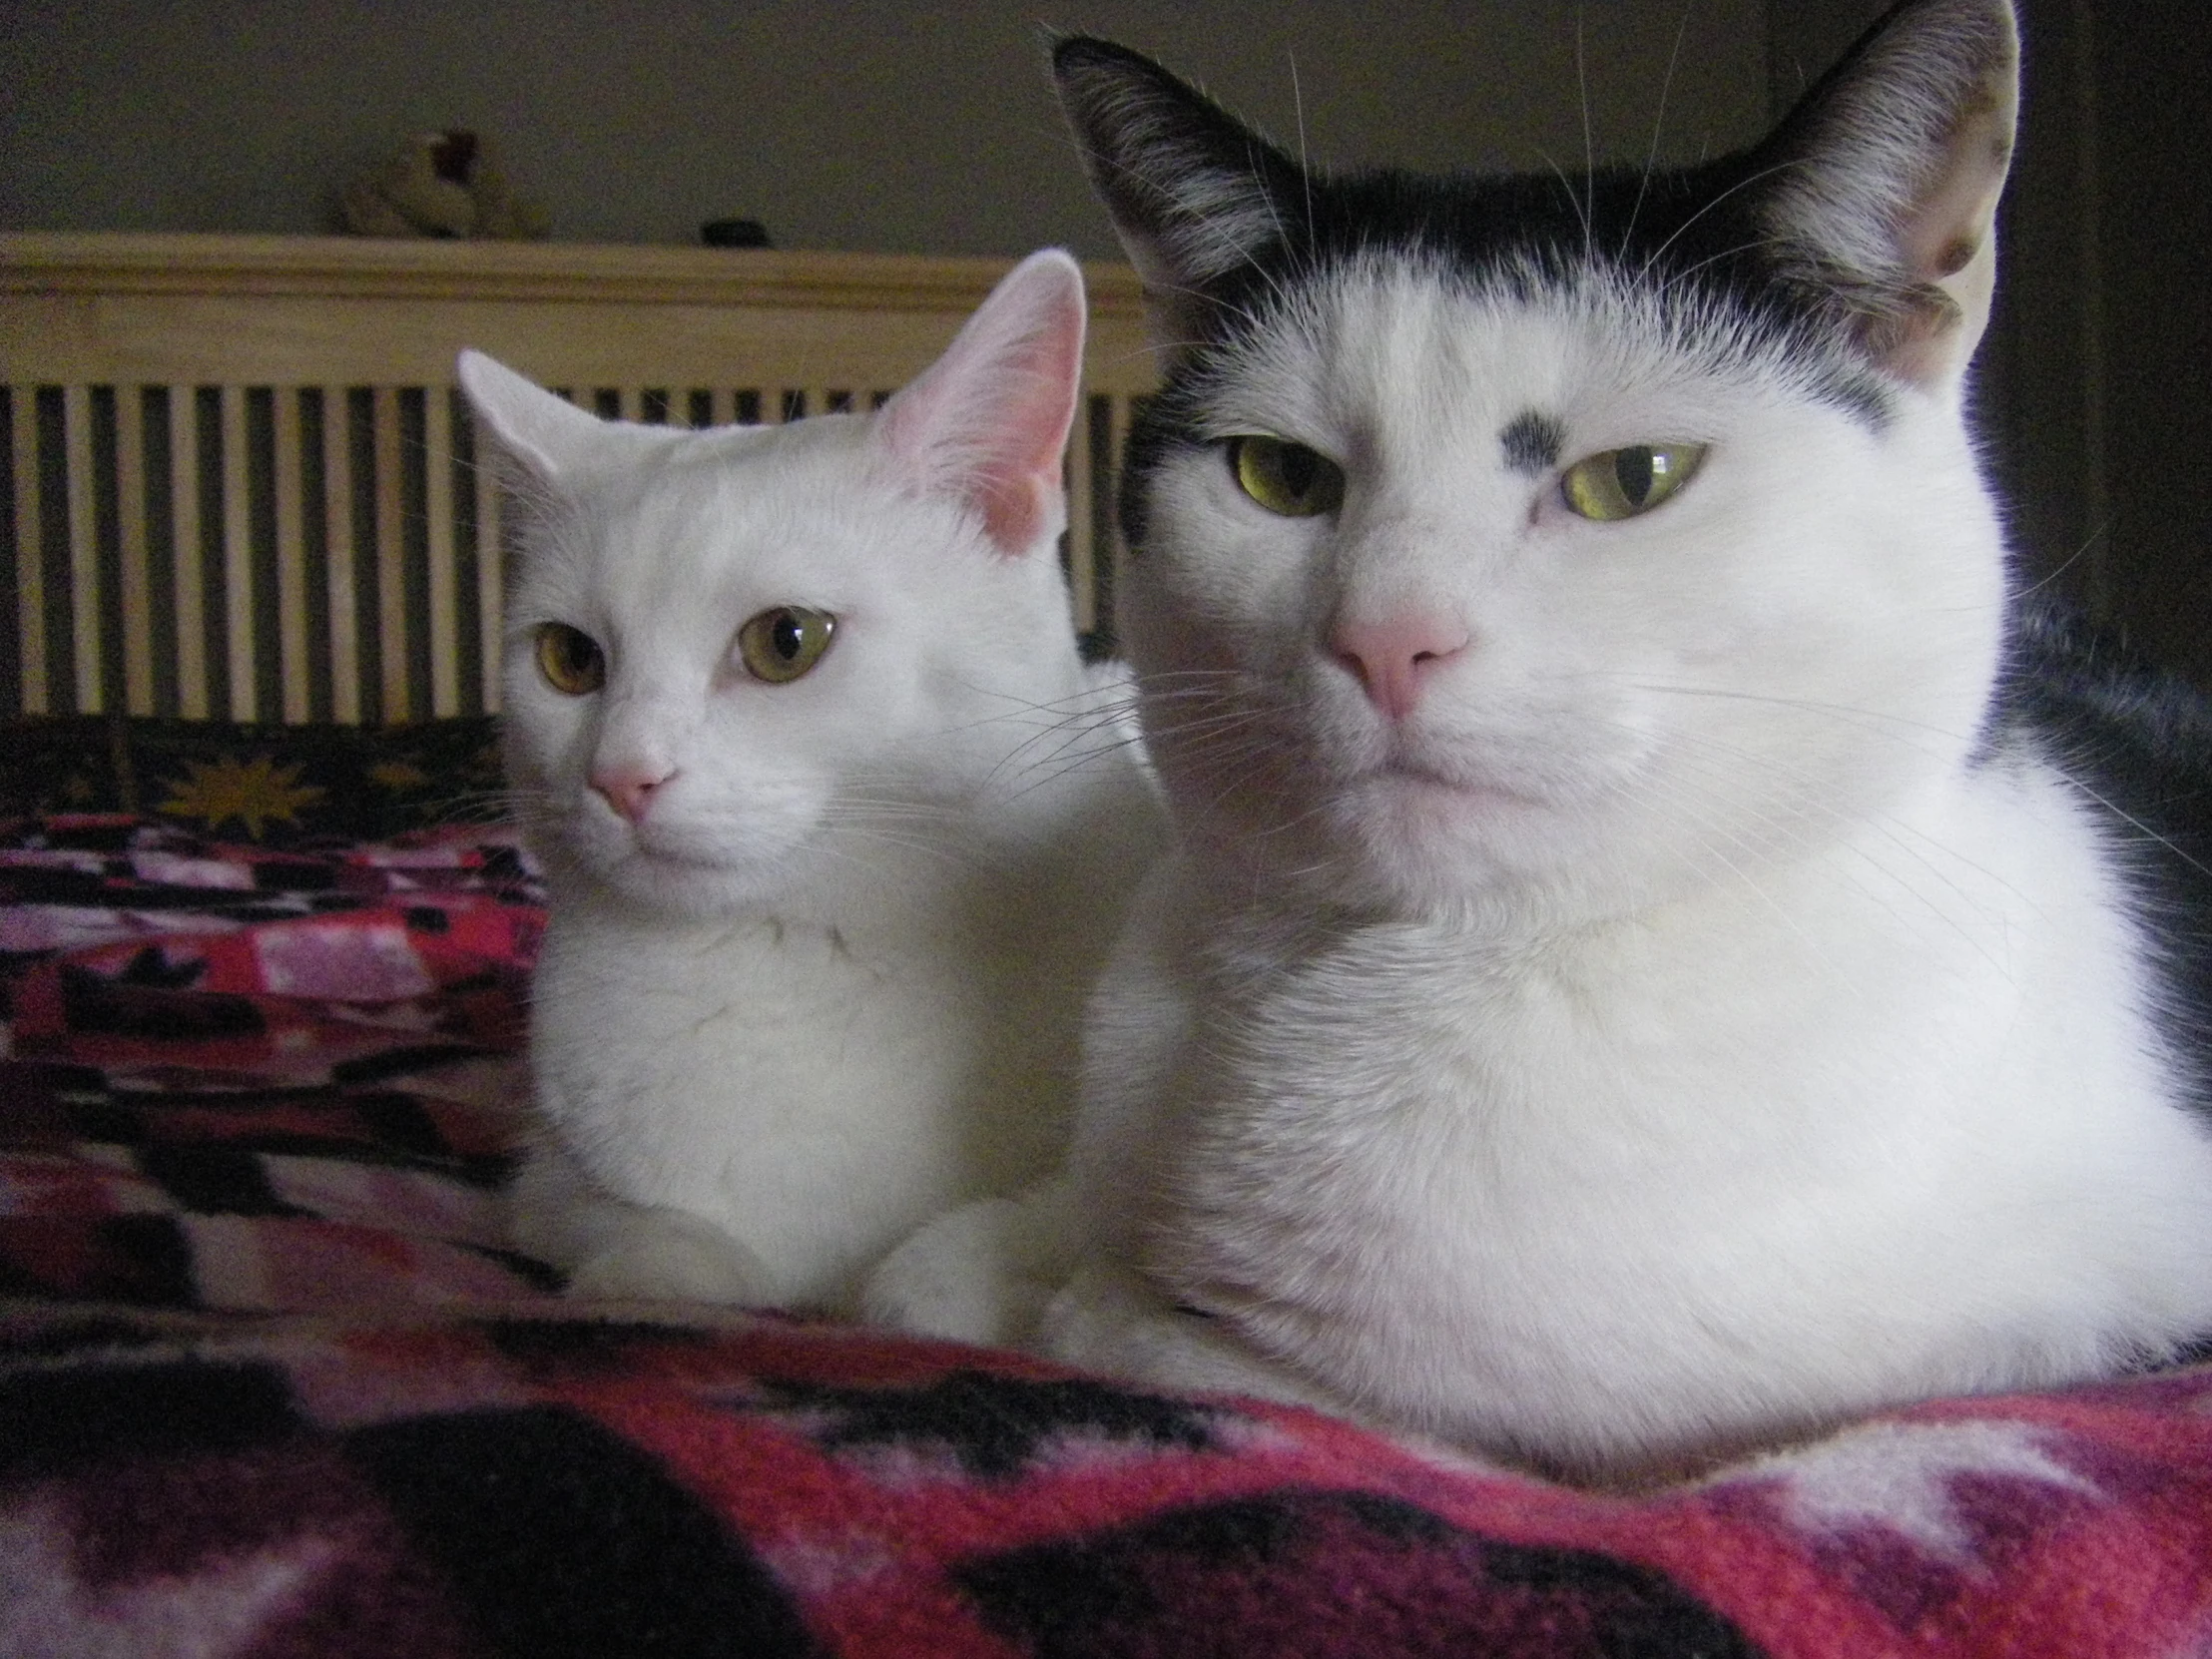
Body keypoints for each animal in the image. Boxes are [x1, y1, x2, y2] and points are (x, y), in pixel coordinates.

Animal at [459, 250, 1168, 1309]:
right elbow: (646, 1247)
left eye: (786, 641)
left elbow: (978, 1253)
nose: (621, 774)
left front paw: (928, 1286)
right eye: (569, 660)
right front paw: (661, 1282)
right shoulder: (544, 1183)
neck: (798, 954)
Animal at [875, 0, 2212, 1477]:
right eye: (1278, 476)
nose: (1386, 637)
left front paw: (1121, 1307)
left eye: (1632, 480)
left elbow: (1206, 1354)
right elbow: (929, 1272)